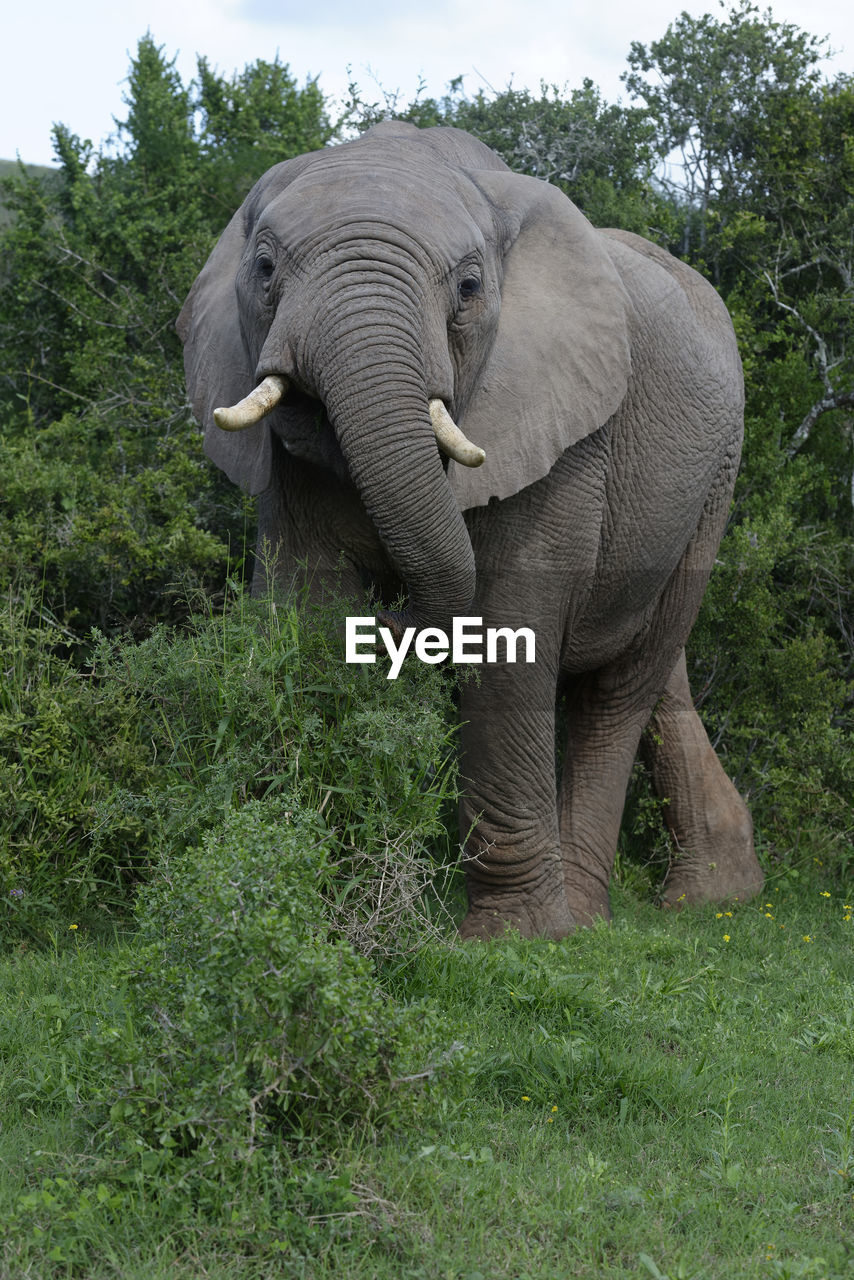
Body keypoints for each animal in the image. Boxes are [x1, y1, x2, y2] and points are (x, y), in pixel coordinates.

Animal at [176, 120, 763, 942]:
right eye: (263, 270)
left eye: (469, 288)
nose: (393, 616)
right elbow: (306, 615)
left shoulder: (561, 430)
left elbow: (507, 635)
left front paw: (516, 940)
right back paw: (715, 894)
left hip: (717, 479)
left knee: (618, 691)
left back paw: (594, 921)